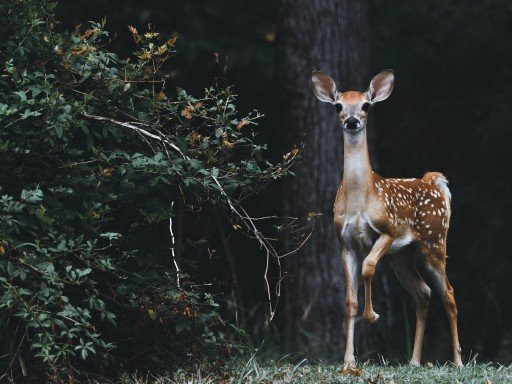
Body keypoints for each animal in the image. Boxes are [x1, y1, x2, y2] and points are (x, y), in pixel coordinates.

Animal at [312, 70, 464, 368]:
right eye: (338, 106)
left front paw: (372, 316)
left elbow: (368, 267)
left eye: (366, 105)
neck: (360, 200)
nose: (351, 121)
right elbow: (349, 301)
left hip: (433, 241)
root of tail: (435, 182)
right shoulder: (345, 243)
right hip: (402, 255)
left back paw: (458, 361)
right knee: (423, 293)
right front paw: (348, 361)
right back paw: (414, 361)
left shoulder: (387, 230)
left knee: (449, 294)